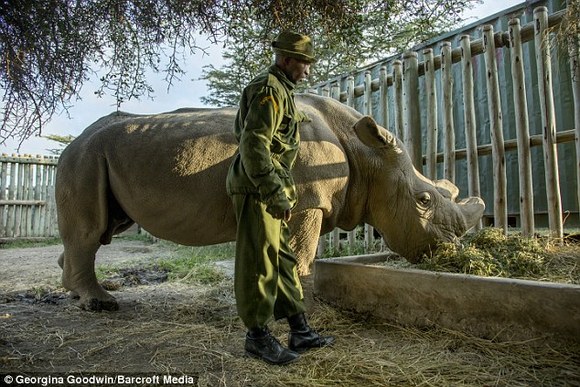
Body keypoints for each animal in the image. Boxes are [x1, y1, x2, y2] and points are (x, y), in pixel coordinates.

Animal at [55, 94, 484, 312]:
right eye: (424, 200)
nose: (450, 252)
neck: (368, 155)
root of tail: (73, 142)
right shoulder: (305, 203)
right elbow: (302, 253)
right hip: (84, 157)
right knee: (90, 232)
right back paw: (101, 304)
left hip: (97, 158)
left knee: (103, 229)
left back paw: (77, 295)